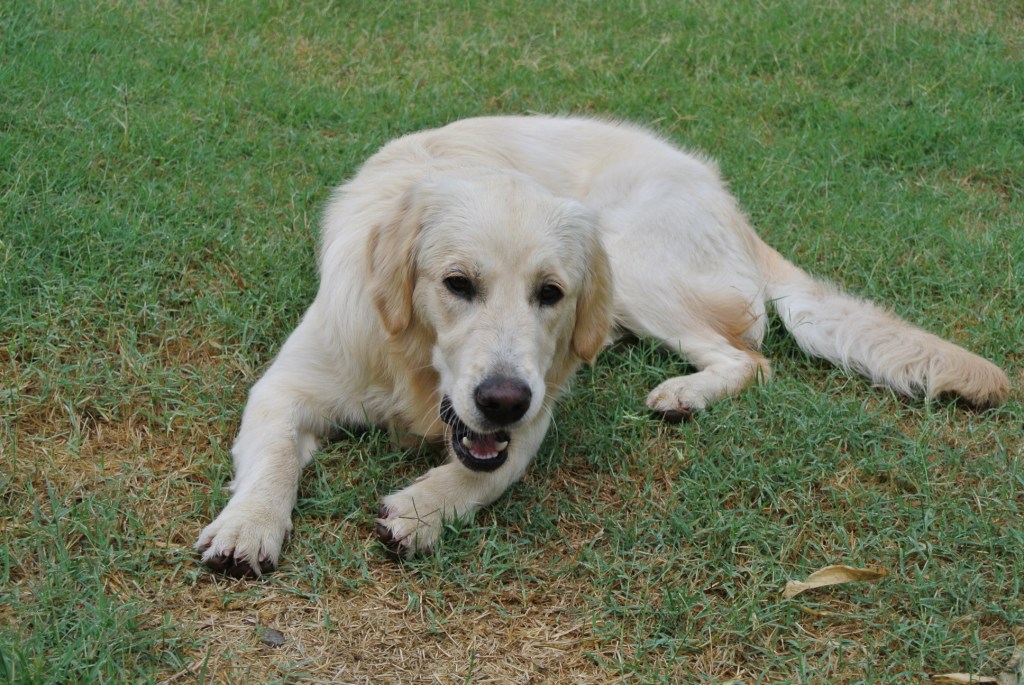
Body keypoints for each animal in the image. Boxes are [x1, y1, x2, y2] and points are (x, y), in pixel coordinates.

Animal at [195, 114, 1011, 573]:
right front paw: (248, 525)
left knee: (750, 356)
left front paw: (425, 508)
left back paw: (684, 393)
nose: (501, 398)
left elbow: (492, 470)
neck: (416, 371)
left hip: (637, 261)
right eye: (456, 283)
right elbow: (273, 458)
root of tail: (729, 204)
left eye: (550, 293)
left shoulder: (539, 407)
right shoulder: (289, 384)